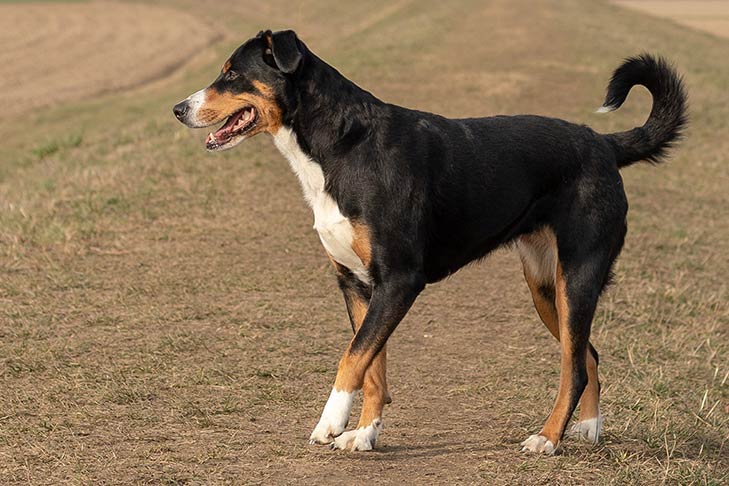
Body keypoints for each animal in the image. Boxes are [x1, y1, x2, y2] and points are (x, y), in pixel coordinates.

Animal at [173, 30, 684, 454]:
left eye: (232, 73)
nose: (178, 108)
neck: (342, 147)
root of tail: (602, 143)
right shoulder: (358, 285)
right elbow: (372, 366)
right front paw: (365, 434)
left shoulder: (400, 280)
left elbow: (351, 359)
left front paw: (331, 422)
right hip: (545, 286)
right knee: (587, 356)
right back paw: (589, 430)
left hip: (577, 276)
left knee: (573, 366)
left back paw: (547, 439)